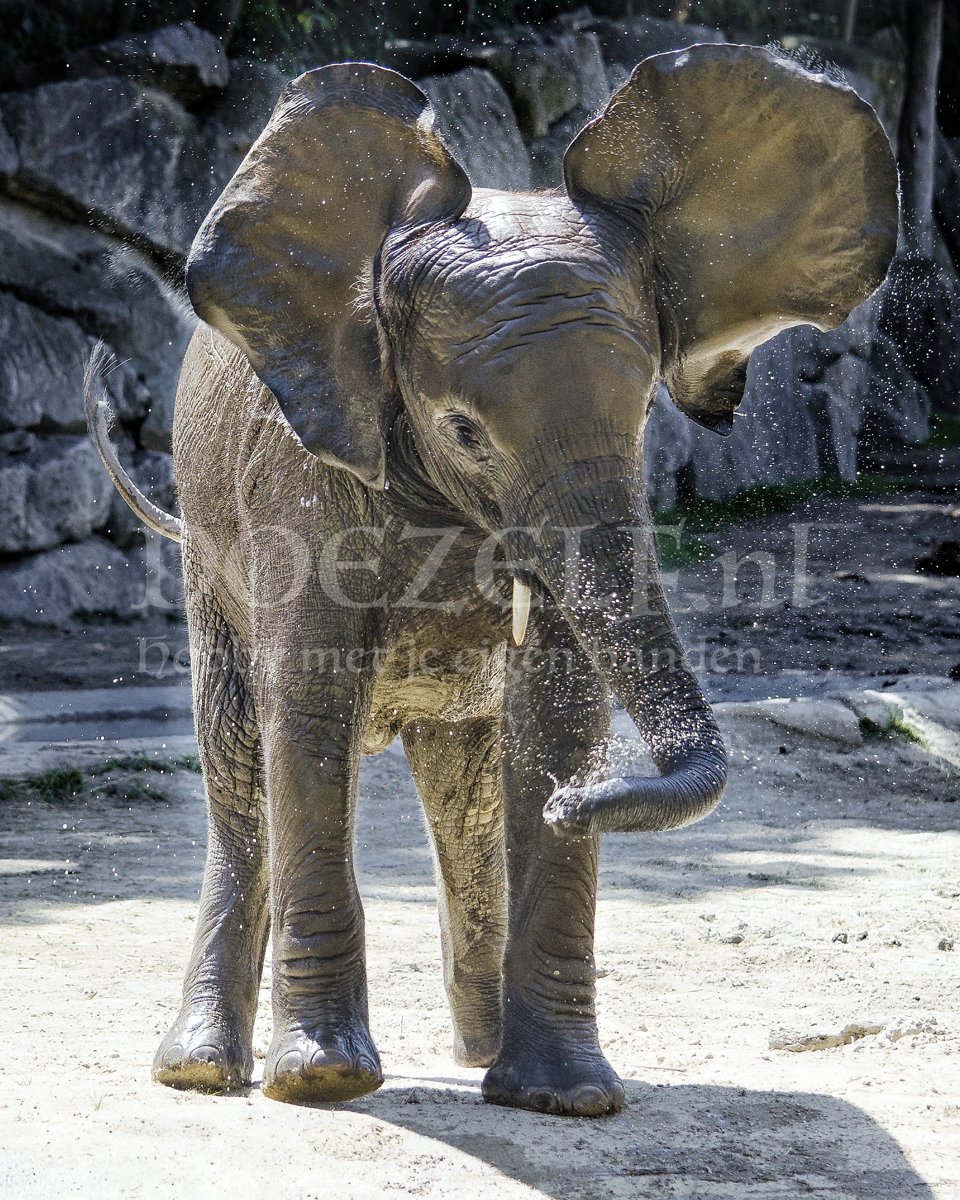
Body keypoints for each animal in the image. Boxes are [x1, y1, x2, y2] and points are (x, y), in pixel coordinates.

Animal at [90, 46, 902, 1113]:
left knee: (465, 791)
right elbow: (306, 707)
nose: (579, 801)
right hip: (206, 549)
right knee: (237, 759)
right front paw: (324, 1082)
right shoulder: (297, 480)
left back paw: (478, 1054)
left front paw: (564, 1097)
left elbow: (554, 709)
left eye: (647, 414)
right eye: (465, 432)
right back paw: (200, 1072)